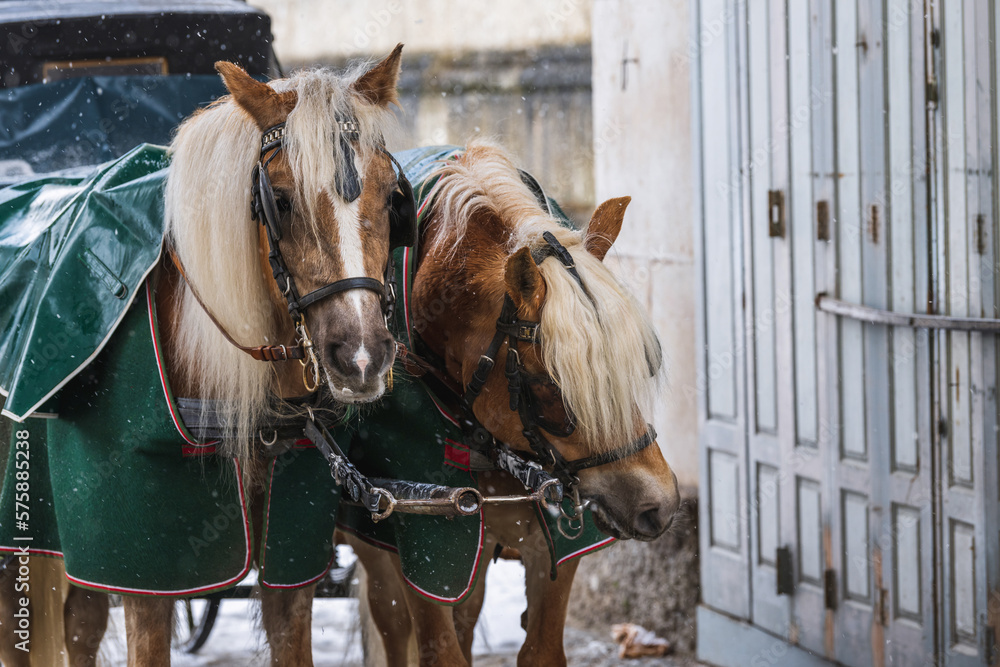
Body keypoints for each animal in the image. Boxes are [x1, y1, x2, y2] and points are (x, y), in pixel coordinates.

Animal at [340, 140, 681, 666]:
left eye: (640, 363)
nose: (657, 504)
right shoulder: (426, 543)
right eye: (548, 386)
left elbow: (540, 649)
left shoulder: (550, 544)